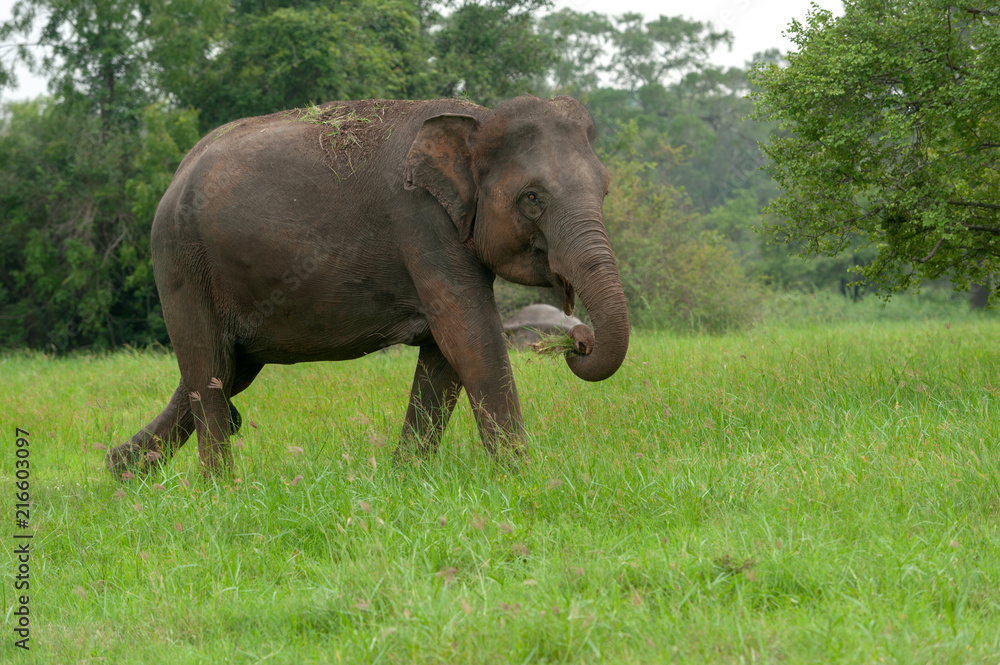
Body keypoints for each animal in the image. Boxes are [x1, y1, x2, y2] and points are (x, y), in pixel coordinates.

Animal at [107, 95, 630, 475]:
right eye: (532, 198)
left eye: (605, 190)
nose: (578, 342)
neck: (478, 117)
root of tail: (177, 172)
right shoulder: (421, 221)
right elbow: (470, 334)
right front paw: (525, 478)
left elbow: (445, 354)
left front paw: (406, 478)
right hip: (180, 262)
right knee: (209, 368)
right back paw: (221, 489)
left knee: (223, 371)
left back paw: (122, 473)